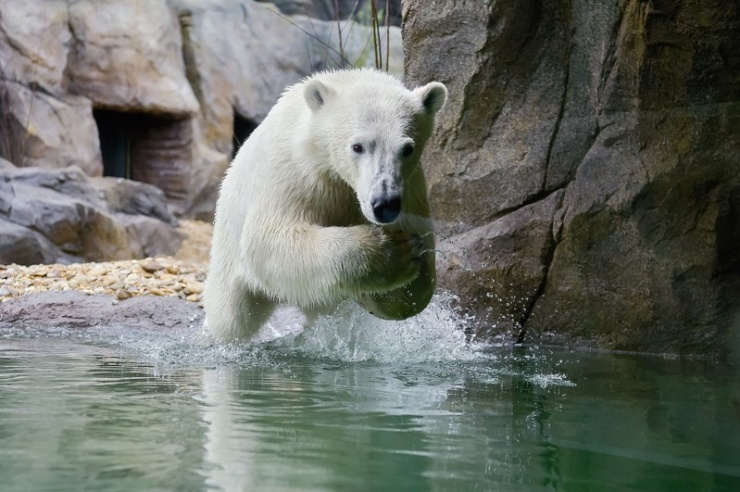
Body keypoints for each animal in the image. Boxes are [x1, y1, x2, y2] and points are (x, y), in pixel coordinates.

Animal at [202, 67, 446, 340]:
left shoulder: (411, 187)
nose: (384, 205)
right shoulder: (295, 172)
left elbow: (422, 282)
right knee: (232, 314)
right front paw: (395, 252)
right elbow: (270, 240)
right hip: (228, 244)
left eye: (407, 148)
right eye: (358, 146)